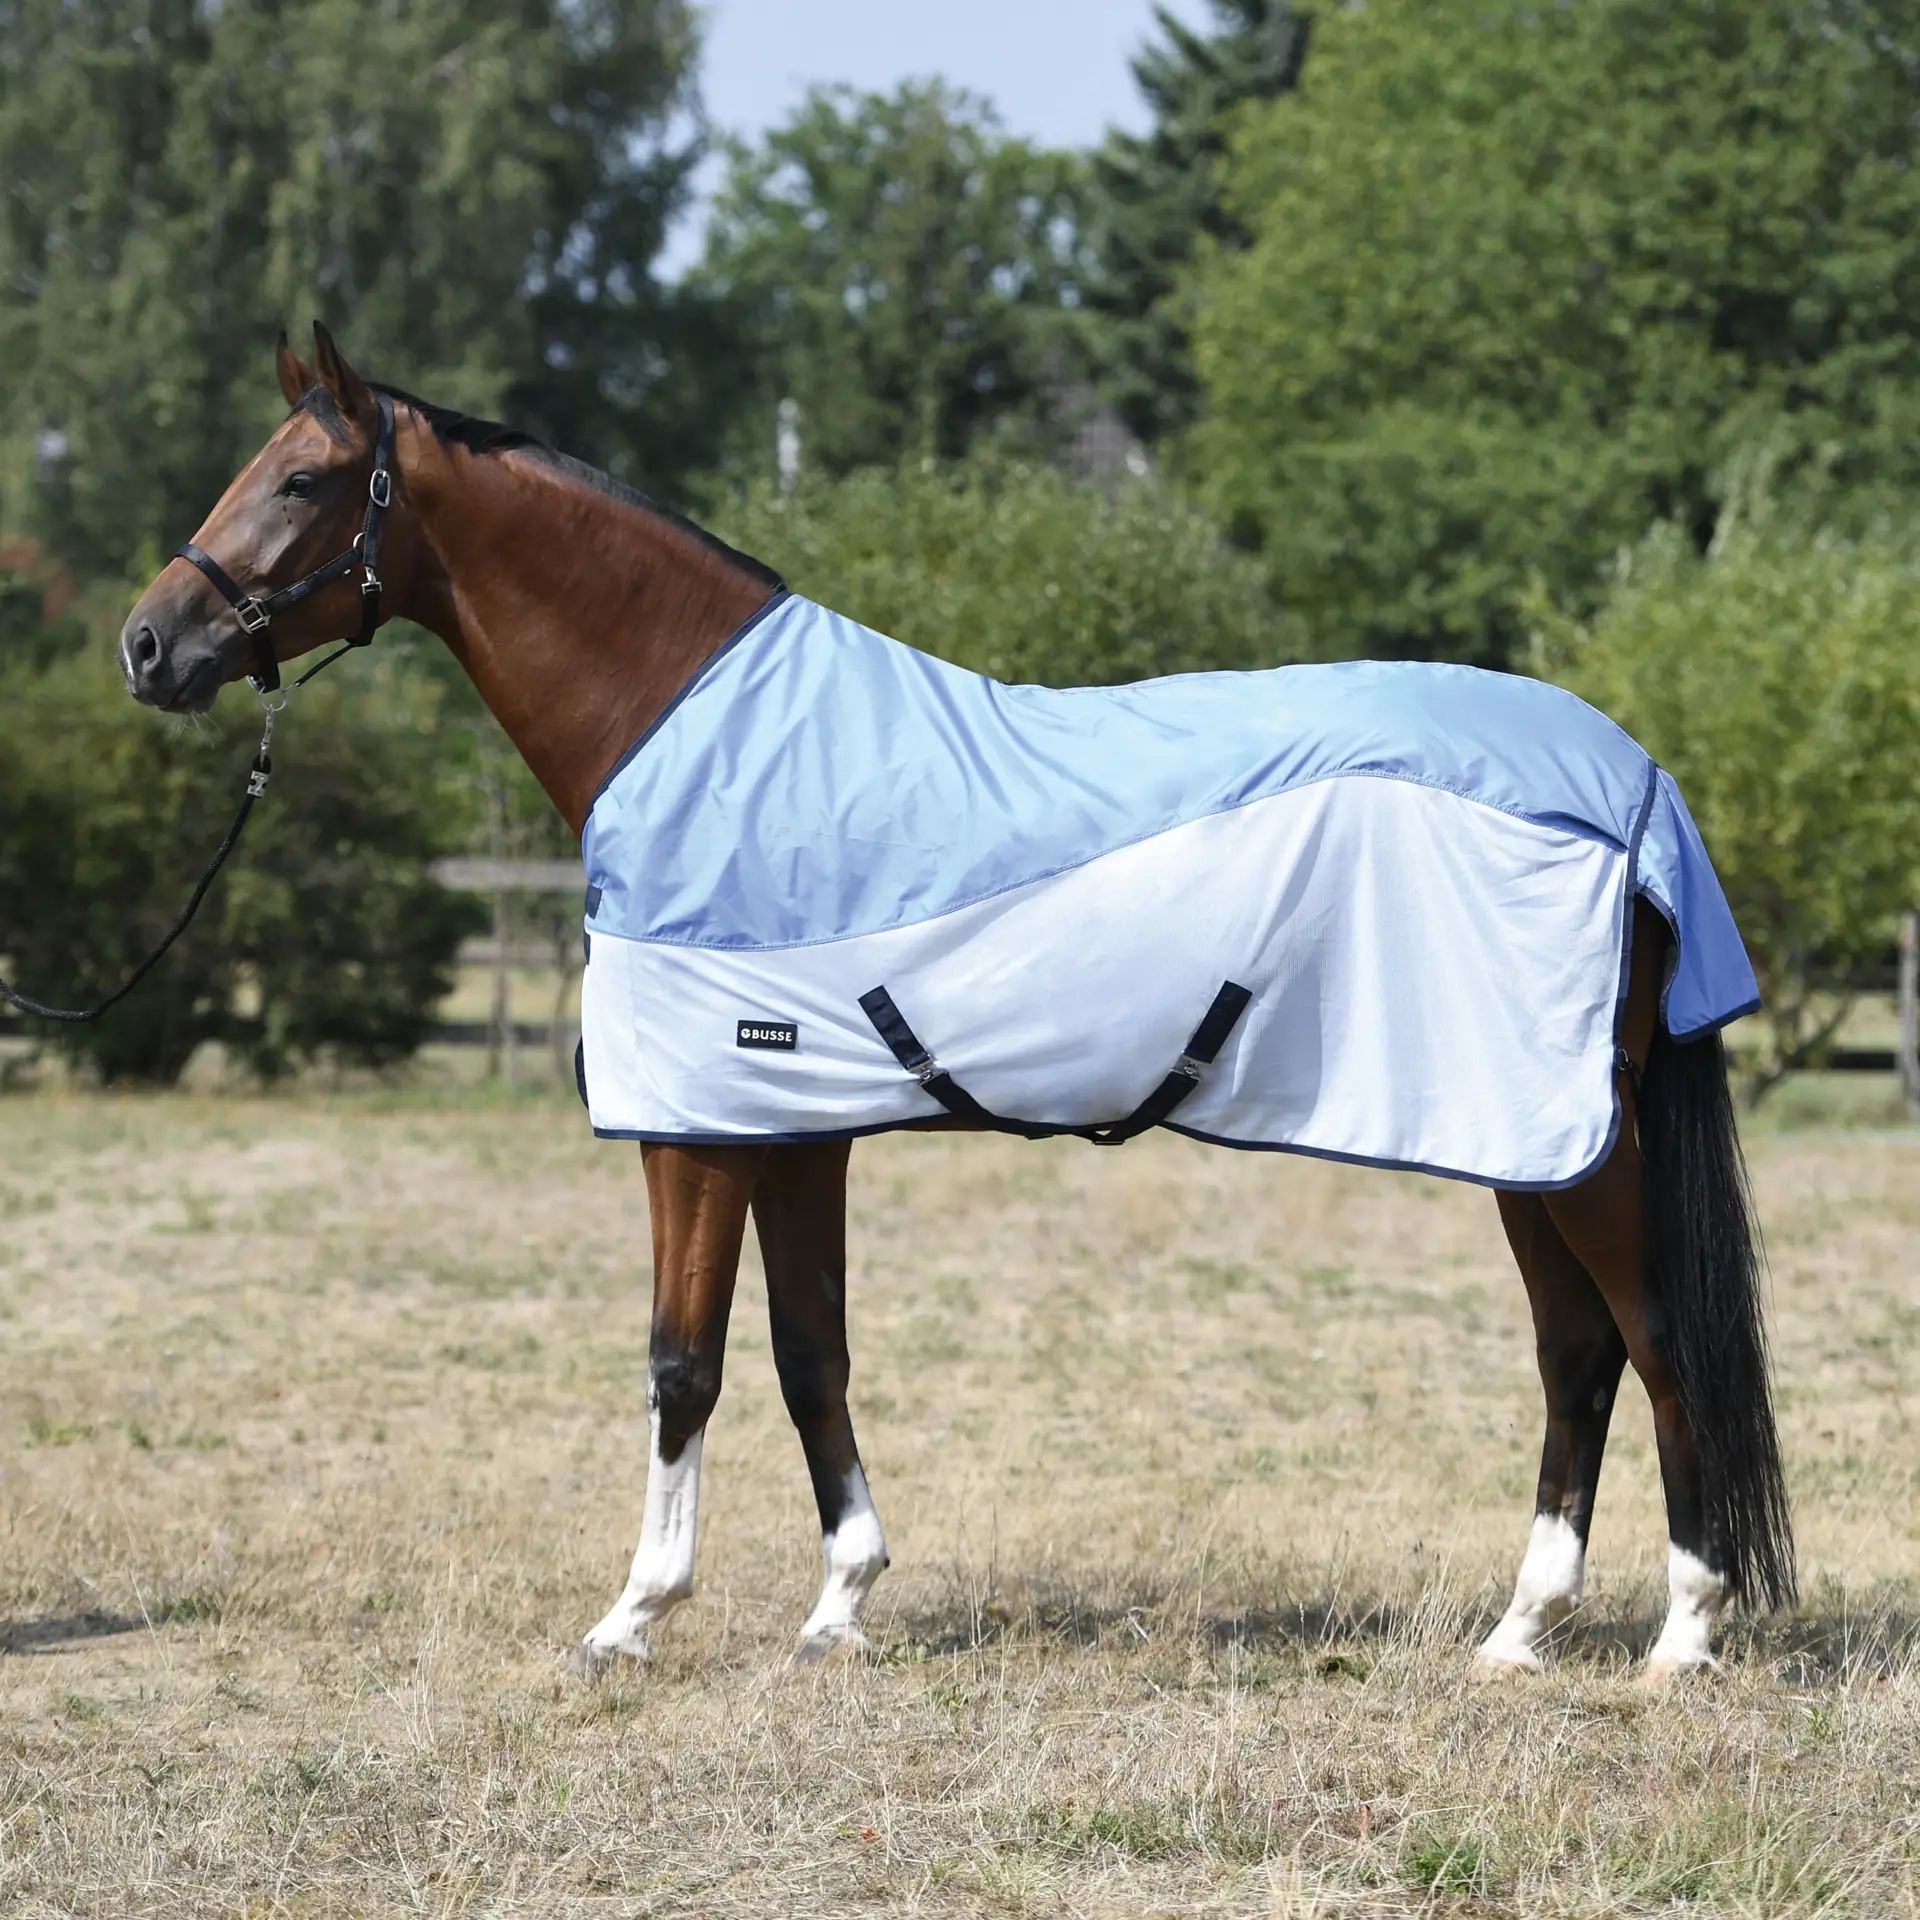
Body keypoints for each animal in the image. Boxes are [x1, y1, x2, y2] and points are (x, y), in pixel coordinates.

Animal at [116, 325, 1793, 1679]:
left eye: (302, 481)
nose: (150, 645)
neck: (703, 739)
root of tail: (1637, 786)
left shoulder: (699, 1131)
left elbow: (683, 1359)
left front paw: (634, 1616)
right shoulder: (791, 1125)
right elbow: (810, 1354)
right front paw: (839, 1606)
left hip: (1580, 1146)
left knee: (1657, 1344)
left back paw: (1684, 1635)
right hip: (1524, 1139)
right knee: (1577, 1357)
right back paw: (1522, 1632)